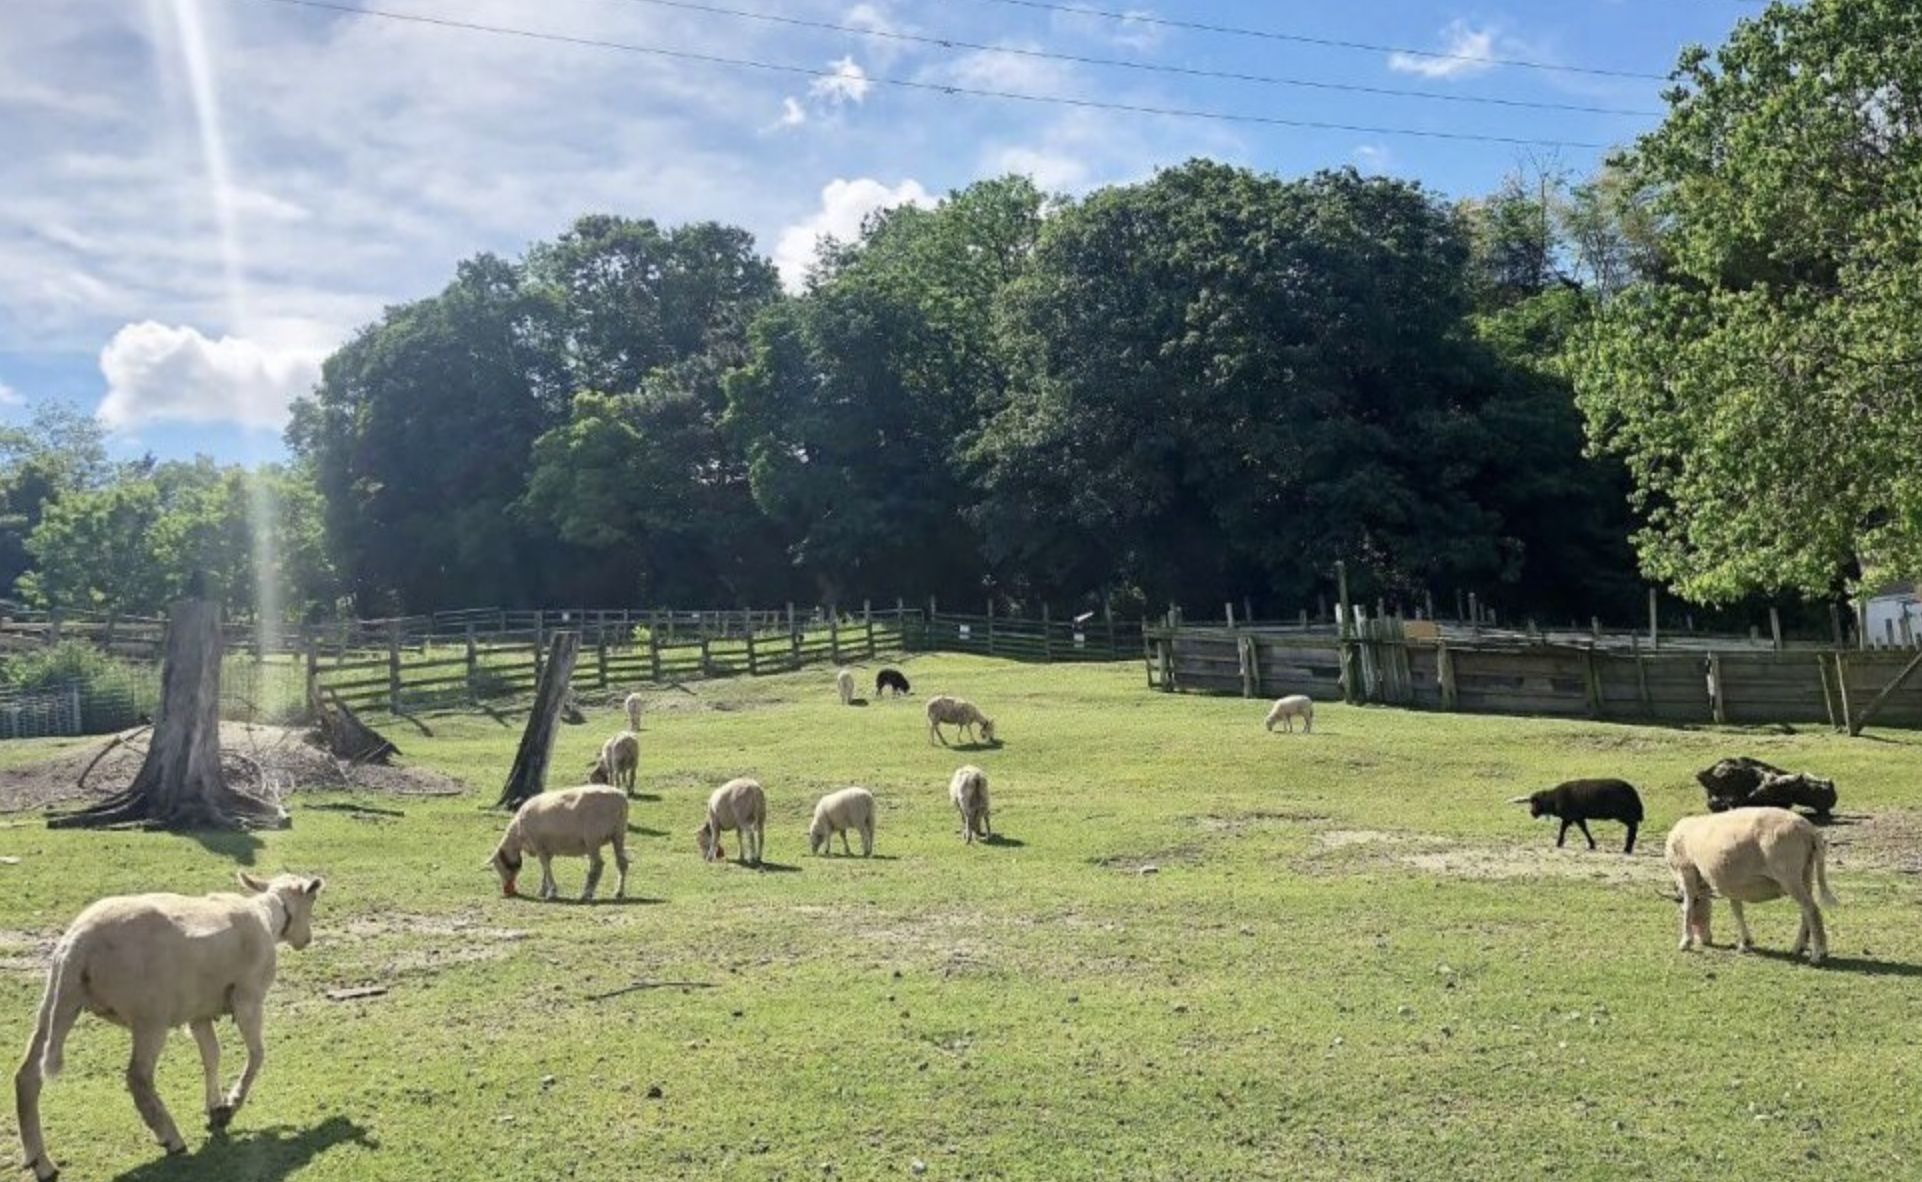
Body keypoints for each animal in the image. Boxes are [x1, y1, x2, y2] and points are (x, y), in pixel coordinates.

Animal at [15, 868, 326, 1182]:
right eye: (313, 898)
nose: (308, 939)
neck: (269, 914)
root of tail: (78, 944)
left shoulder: (199, 1013)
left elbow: (212, 1056)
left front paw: (216, 1108)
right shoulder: (248, 997)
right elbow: (257, 1054)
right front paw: (232, 1103)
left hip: (59, 1001)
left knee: (27, 1075)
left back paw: (41, 1163)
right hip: (149, 1015)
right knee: (138, 1077)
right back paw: (171, 1138)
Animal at [488, 780, 630, 903]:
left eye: (498, 866)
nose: (508, 891)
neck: (518, 833)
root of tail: (620, 798)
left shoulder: (538, 845)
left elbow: (545, 866)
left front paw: (552, 892)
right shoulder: (547, 848)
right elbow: (545, 869)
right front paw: (543, 890)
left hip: (592, 838)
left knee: (597, 865)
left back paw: (586, 894)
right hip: (618, 834)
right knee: (622, 863)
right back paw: (619, 892)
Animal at [1506, 780, 1645, 857]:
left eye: (1535, 802)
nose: (1532, 813)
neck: (1553, 800)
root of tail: (1634, 794)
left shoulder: (1572, 816)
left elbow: (1566, 829)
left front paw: (1559, 843)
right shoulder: (1575, 816)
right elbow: (1580, 829)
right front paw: (1591, 844)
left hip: (1624, 813)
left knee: (1633, 827)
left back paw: (1627, 848)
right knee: (1633, 827)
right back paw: (1627, 848)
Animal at [1660, 811, 1837, 964]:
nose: (1705, 940)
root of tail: (1810, 830)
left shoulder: (1685, 870)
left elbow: (1688, 906)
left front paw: (1685, 942)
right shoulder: (1730, 883)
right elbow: (1737, 909)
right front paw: (1745, 943)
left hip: (1789, 875)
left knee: (1811, 909)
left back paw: (1817, 954)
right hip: (1805, 872)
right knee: (1805, 910)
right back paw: (1801, 947)